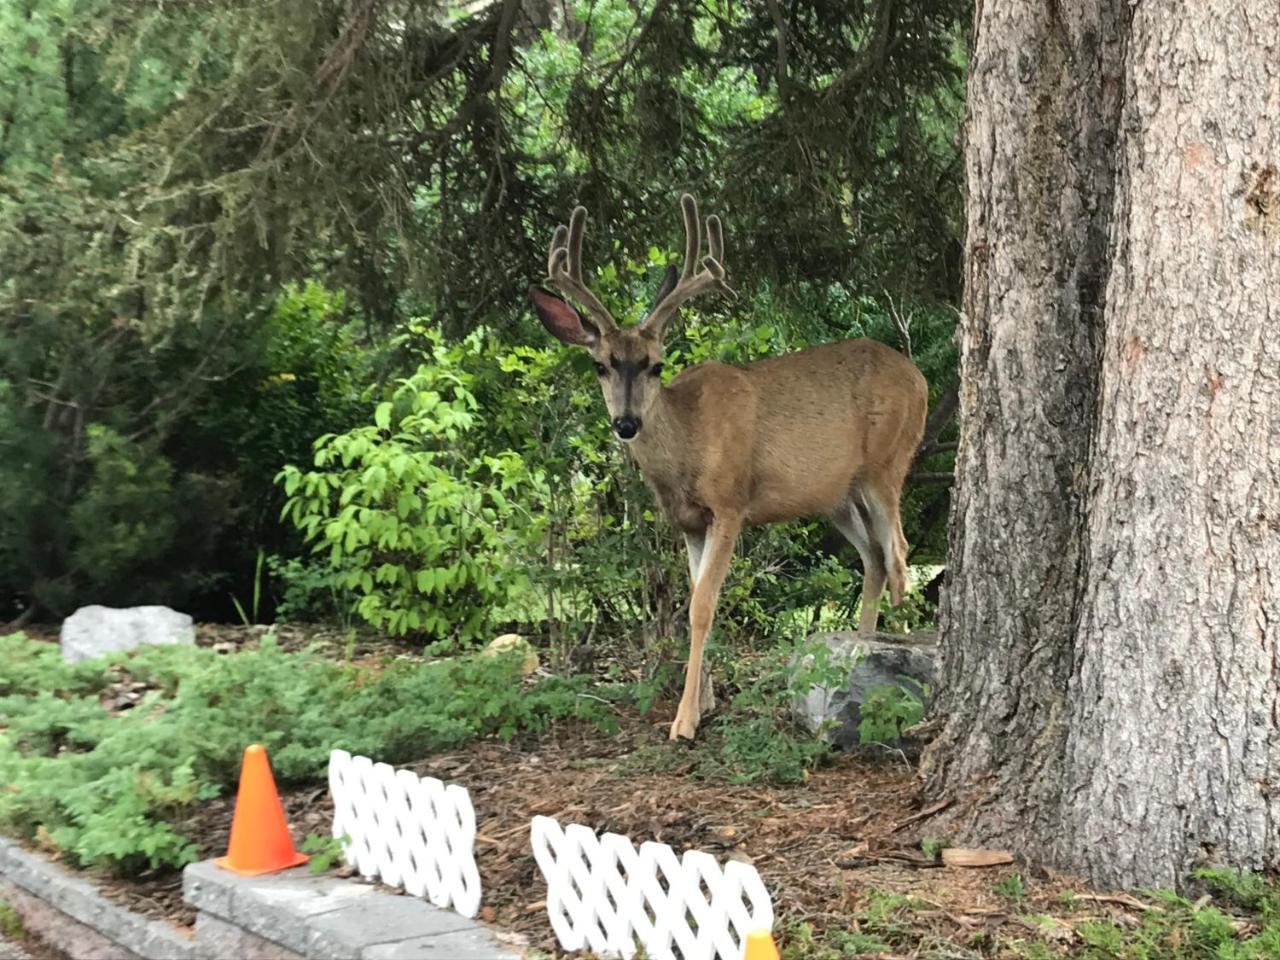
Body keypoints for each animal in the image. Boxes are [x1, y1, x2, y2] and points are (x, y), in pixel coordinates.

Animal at [529, 195, 931, 742]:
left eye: (656, 364)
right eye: (601, 364)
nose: (627, 423)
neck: (687, 445)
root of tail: (920, 378)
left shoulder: (730, 503)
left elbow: (702, 605)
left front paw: (684, 720)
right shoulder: (689, 522)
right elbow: (695, 599)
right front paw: (704, 702)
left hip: (886, 463)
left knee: (899, 554)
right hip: (837, 495)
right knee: (872, 556)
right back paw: (860, 649)